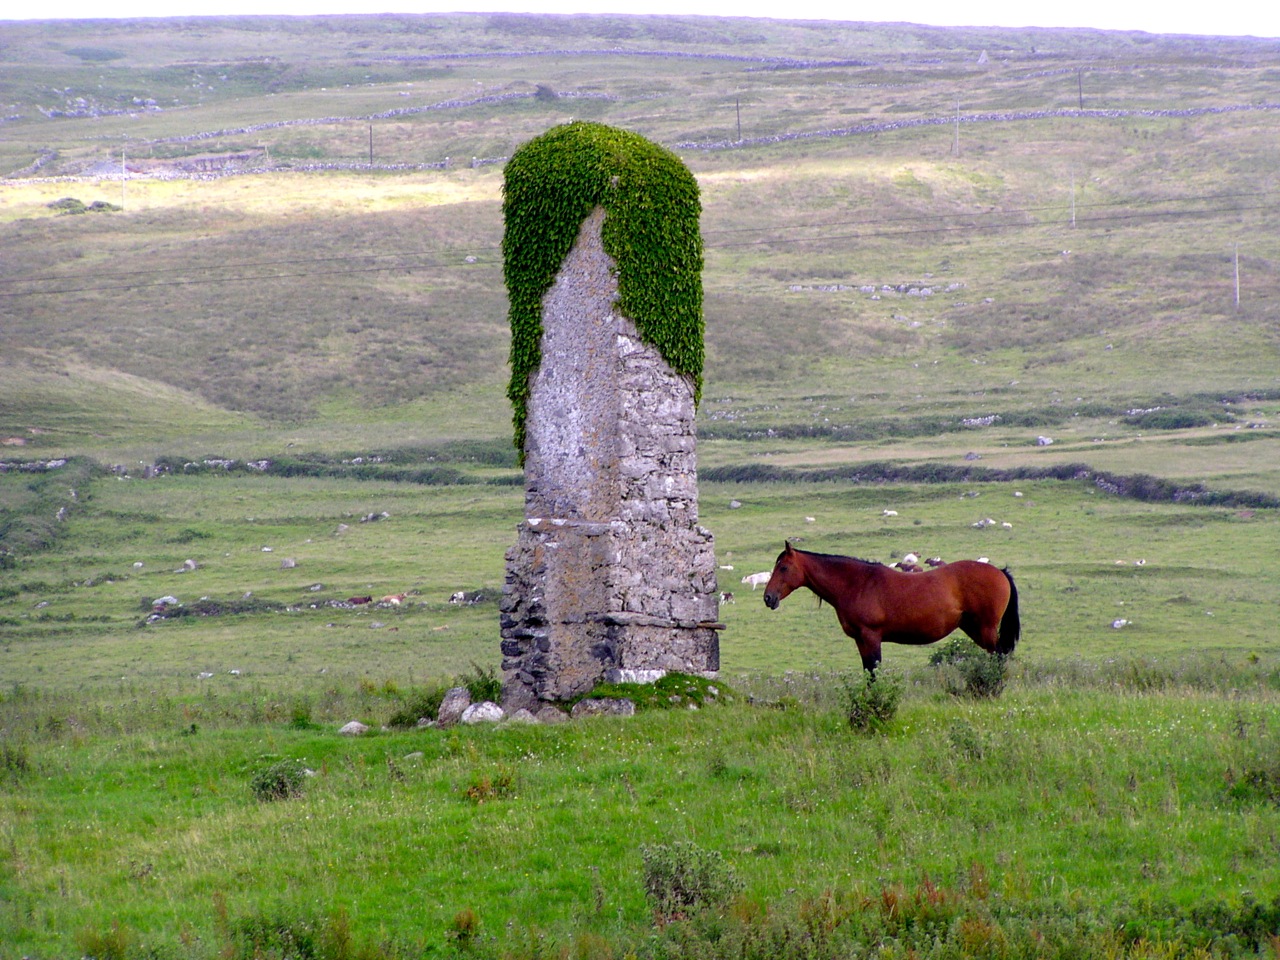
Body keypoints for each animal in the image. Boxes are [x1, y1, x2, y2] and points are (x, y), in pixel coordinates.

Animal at [757, 542, 1018, 675]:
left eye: (783, 567)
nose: (768, 598)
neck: (857, 583)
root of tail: (1000, 572)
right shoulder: (860, 640)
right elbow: (867, 672)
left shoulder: (871, 637)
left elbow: (874, 671)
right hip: (973, 629)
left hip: (985, 628)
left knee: (999, 655)